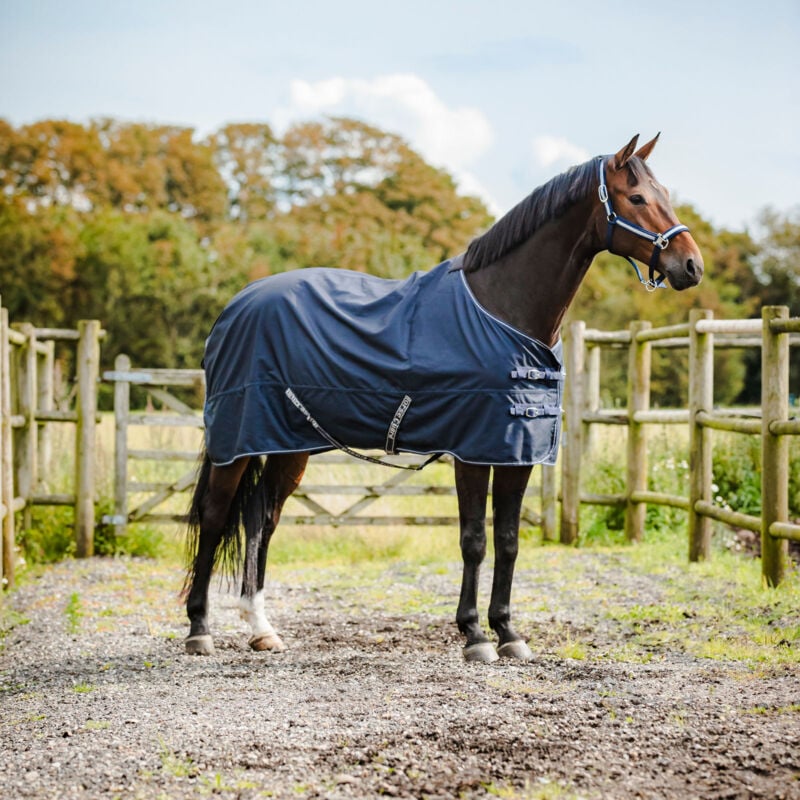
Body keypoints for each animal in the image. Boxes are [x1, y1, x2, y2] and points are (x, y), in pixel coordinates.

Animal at [183, 133, 704, 663]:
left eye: (664, 194)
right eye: (636, 198)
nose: (691, 265)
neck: (504, 309)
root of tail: (236, 305)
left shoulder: (518, 451)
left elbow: (508, 540)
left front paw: (508, 632)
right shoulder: (472, 450)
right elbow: (474, 539)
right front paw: (474, 635)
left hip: (289, 446)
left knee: (260, 519)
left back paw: (261, 628)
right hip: (235, 445)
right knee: (216, 515)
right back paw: (199, 629)